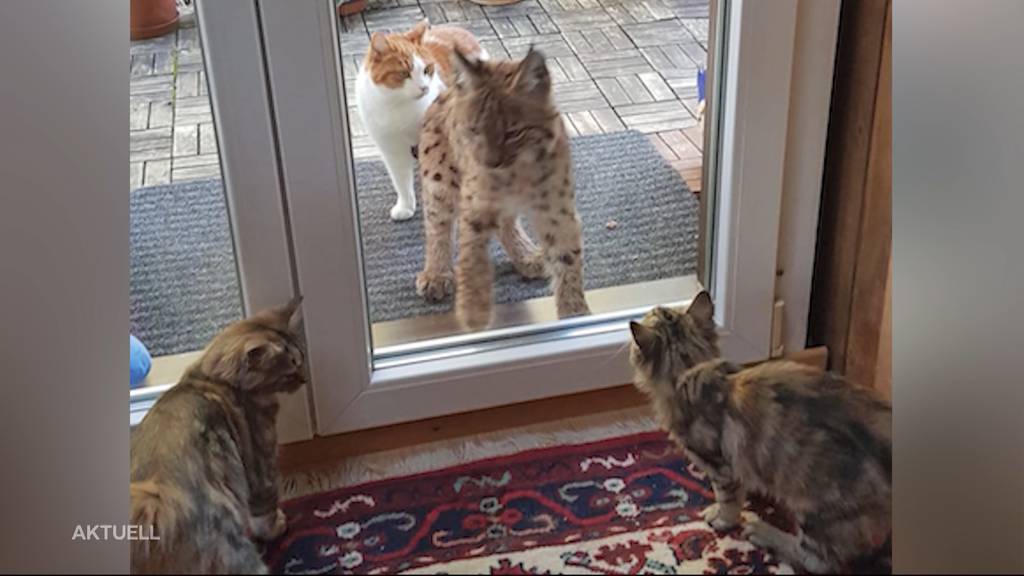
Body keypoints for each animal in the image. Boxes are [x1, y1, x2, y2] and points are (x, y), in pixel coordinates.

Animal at [129, 297, 303, 569]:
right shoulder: (261, 463)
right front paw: (276, 527)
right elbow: (265, 508)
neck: (209, 378)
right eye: (290, 372)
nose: (304, 379)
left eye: (301, 359)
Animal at [356, 20, 487, 219]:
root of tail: (462, 30)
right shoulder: (392, 149)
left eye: (427, 70)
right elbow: (401, 181)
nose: (424, 88)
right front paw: (406, 206)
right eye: (404, 73)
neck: (398, 106)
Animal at [413, 47, 593, 330]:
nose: (490, 163)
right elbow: (471, 258)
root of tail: (447, 91)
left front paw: (575, 315)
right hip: (440, 178)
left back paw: (526, 256)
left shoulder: (558, 211)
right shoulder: (474, 206)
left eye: (513, 133)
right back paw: (436, 274)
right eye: (475, 130)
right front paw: (473, 312)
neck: (519, 172)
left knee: (506, 223)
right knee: (437, 225)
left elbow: (568, 261)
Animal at [626, 293, 892, 569]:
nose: (655, 306)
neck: (689, 371)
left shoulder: (719, 463)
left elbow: (727, 499)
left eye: (652, 314)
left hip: (817, 507)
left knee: (815, 561)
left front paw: (721, 518)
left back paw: (765, 533)